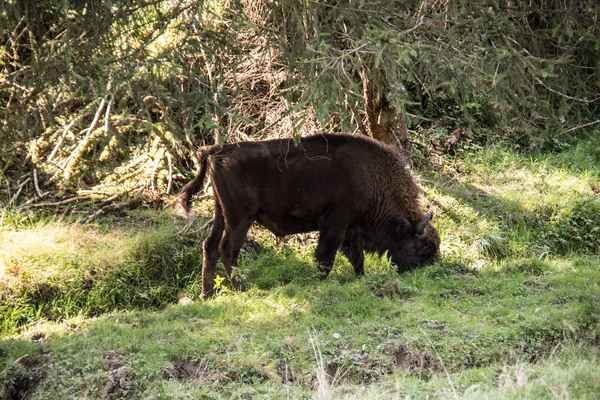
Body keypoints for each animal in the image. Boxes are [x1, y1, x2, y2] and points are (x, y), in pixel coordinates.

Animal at [179, 134, 440, 296]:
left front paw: (361, 278)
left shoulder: (350, 230)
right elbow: (326, 258)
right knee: (227, 249)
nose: (431, 271)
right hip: (240, 217)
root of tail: (220, 150)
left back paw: (207, 294)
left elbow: (356, 258)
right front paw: (319, 282)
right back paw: (242, 288)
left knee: (210, 246)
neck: (372, 177)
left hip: (221, 213)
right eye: (425, 246)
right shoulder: (335, 225)